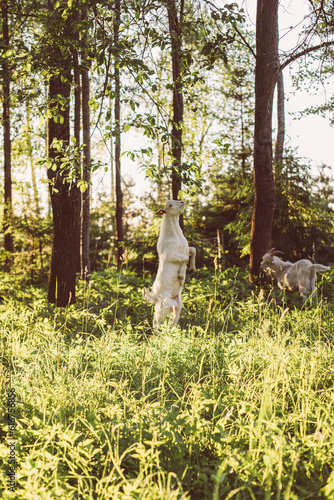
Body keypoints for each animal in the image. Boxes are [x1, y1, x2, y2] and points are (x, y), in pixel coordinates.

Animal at [143, 199, 196, 332]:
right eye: (170, 205)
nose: (182, 201)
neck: (175, 235)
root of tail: (156, 297)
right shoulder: (170, 255)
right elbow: (185, 258)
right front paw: (181, 275)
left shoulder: (186, 249)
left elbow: (193, 250)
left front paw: (192, 268)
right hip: (162, 308)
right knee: (156, 322)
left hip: (178, 307)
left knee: (173, 323)